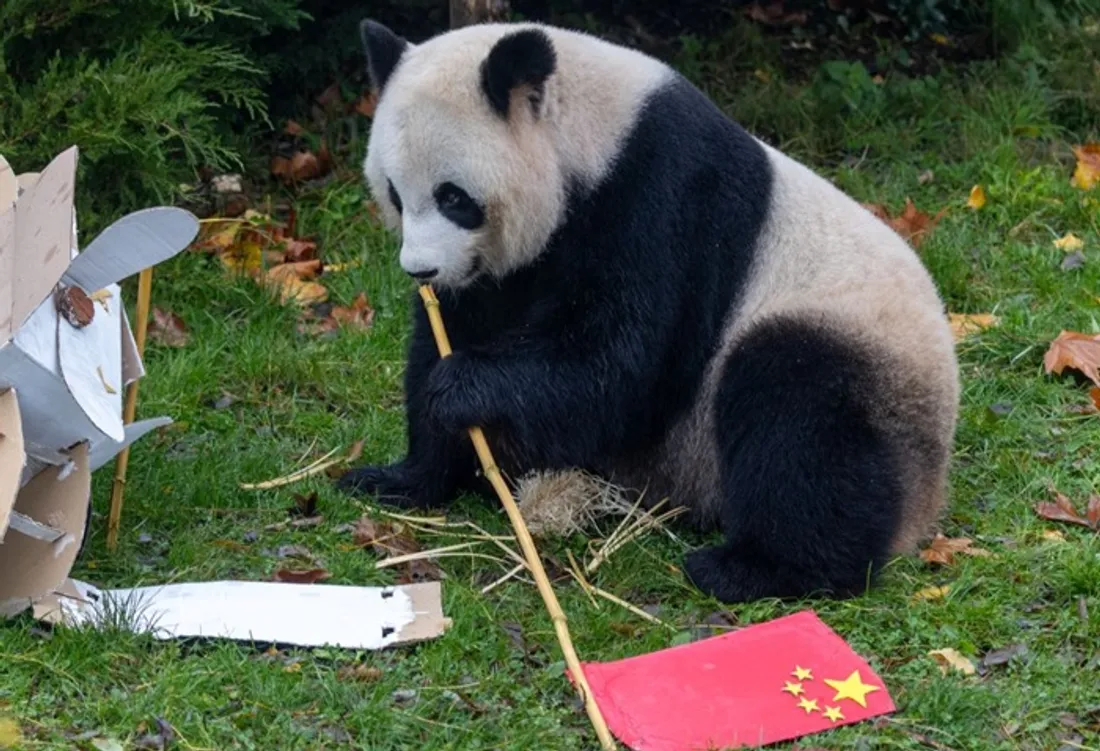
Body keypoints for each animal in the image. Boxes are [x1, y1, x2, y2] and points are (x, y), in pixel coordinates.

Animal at [339, 18, 960, 604]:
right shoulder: (505, 270)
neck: (594, 132)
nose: (421, 270)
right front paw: (403, 476)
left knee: (801, 422)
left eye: (453, 198)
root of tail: (929, 496)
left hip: (852, 340)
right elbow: (453, 335)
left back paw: (755, 569)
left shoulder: (663, 198)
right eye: (394, 194)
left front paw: (461, 387)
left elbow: (624, 360)